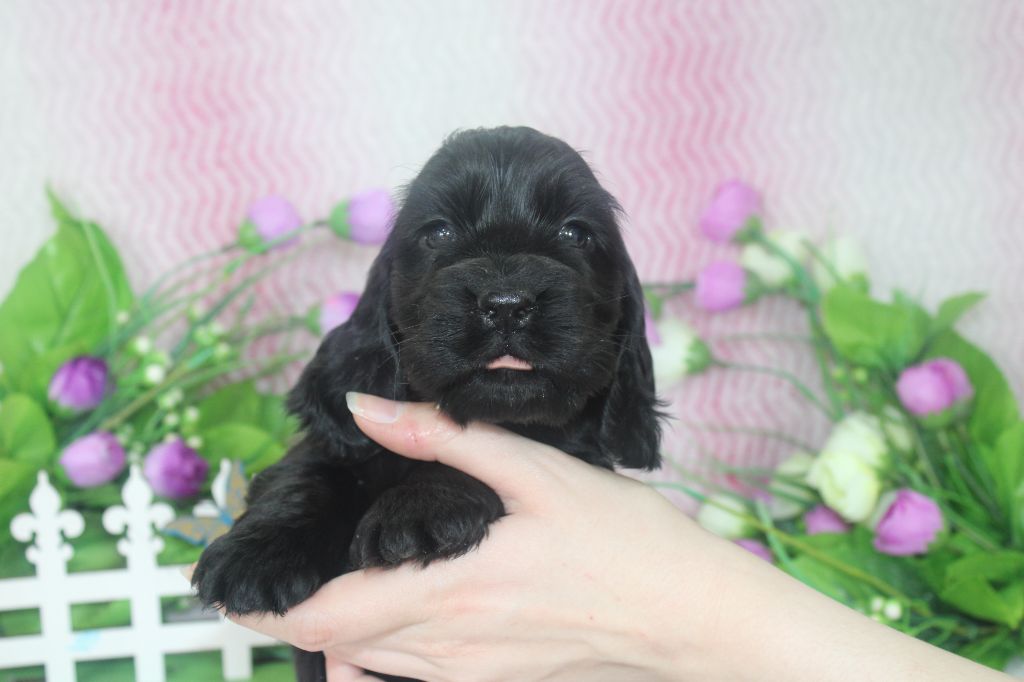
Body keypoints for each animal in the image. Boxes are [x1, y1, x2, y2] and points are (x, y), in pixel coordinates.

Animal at [192, 126, 663, 681]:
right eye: (438, 232)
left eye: (576, 234)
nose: (507, 303)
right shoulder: (351, 425)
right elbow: (306, 471)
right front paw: (256, 555)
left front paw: (418, 511)